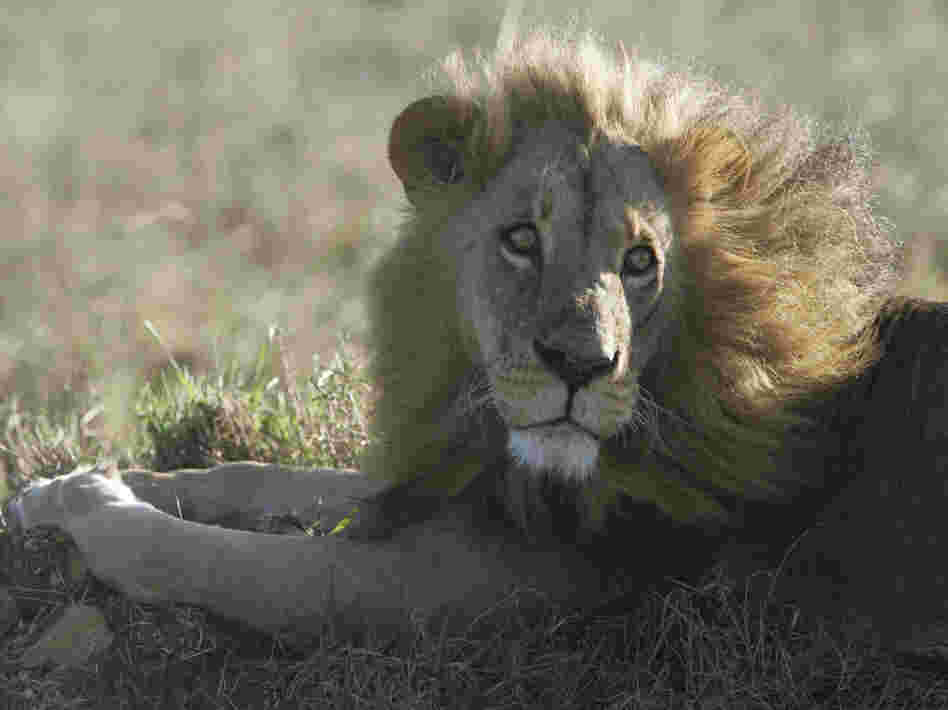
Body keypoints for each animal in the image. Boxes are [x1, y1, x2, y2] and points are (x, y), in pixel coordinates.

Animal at [7, 29, 948, 657]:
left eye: (640, 261)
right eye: (521, 239)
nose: (580, 365)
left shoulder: (449, 585)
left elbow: (204, 558)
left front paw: (89, 503)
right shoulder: (454, 481)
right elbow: (269, 477)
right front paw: (91, 481)